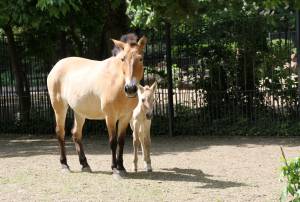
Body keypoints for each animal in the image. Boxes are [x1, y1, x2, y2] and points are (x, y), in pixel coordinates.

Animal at [47, 36, 148, 177]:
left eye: (141, 59)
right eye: (123, 59)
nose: (130, 88)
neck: (117, 83)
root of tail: (56, 67)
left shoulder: (125, 117)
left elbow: (121, 141)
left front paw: (122, 167)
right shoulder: (110, 117)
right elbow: (113, 141)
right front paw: (115, 169)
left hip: (80, 112)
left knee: (76, 134)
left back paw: (85, 164)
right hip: (59, 107)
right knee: (60, 132)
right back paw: (64, 165)